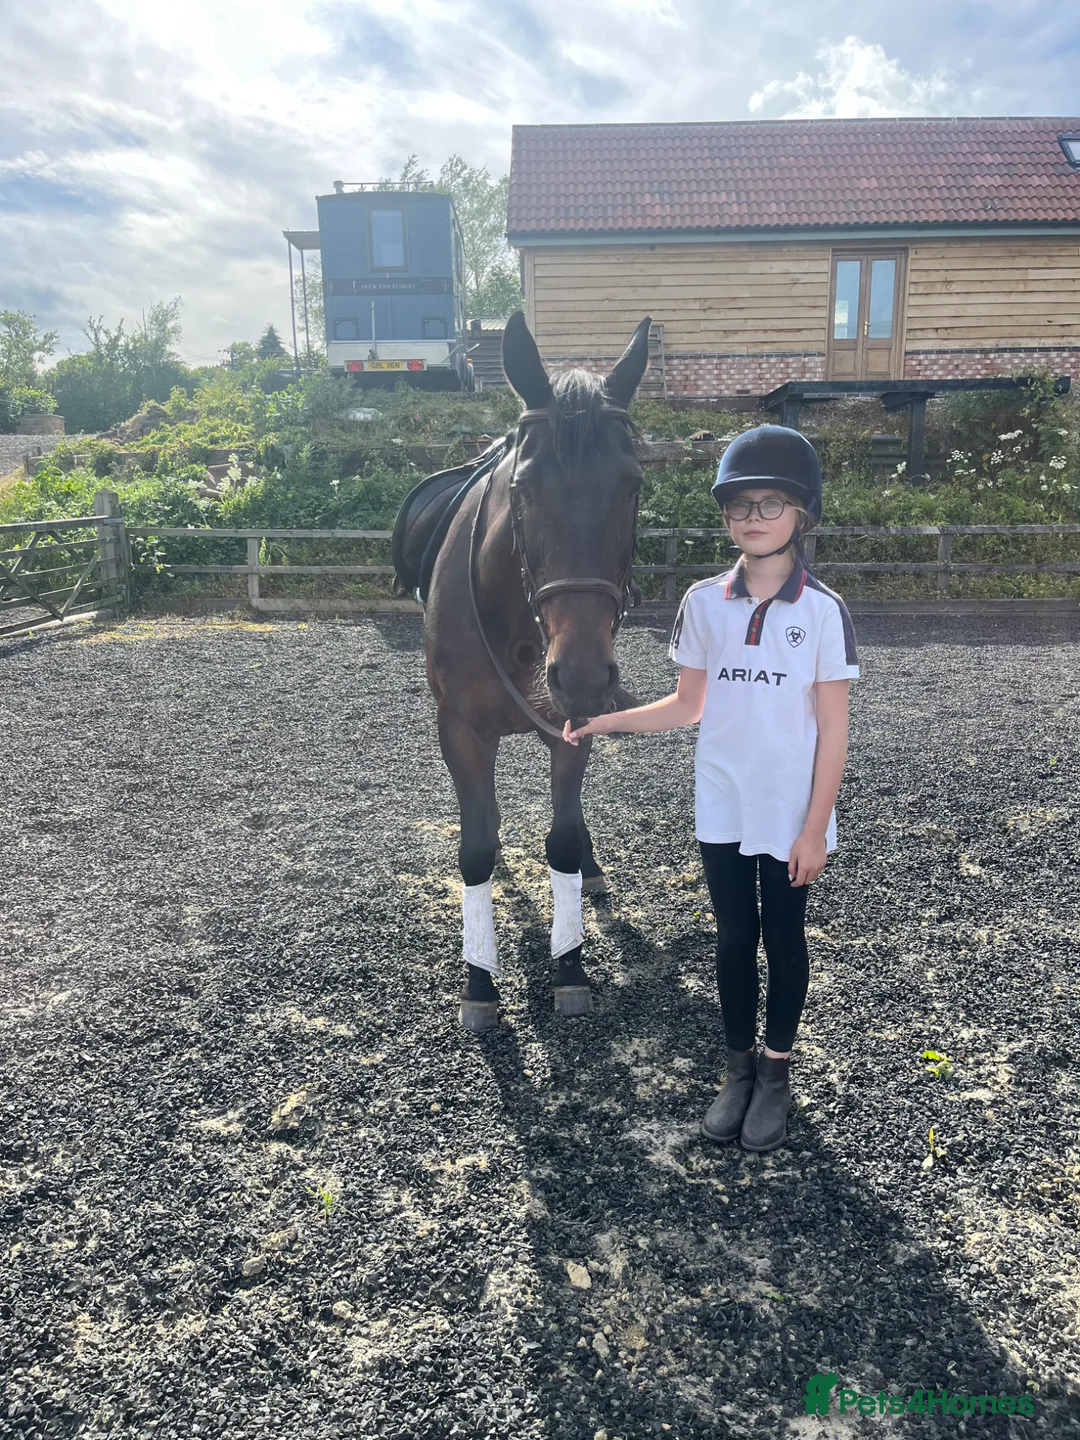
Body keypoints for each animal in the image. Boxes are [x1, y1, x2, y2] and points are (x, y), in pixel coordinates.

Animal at [392, 310, 652, 1032]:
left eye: (633, 487)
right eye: (525, 488)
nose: (584, 675)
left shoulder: (572, 725)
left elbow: (560, 840)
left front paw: (570, 967)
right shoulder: (459, 730)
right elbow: (475, 849)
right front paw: (479, 981)